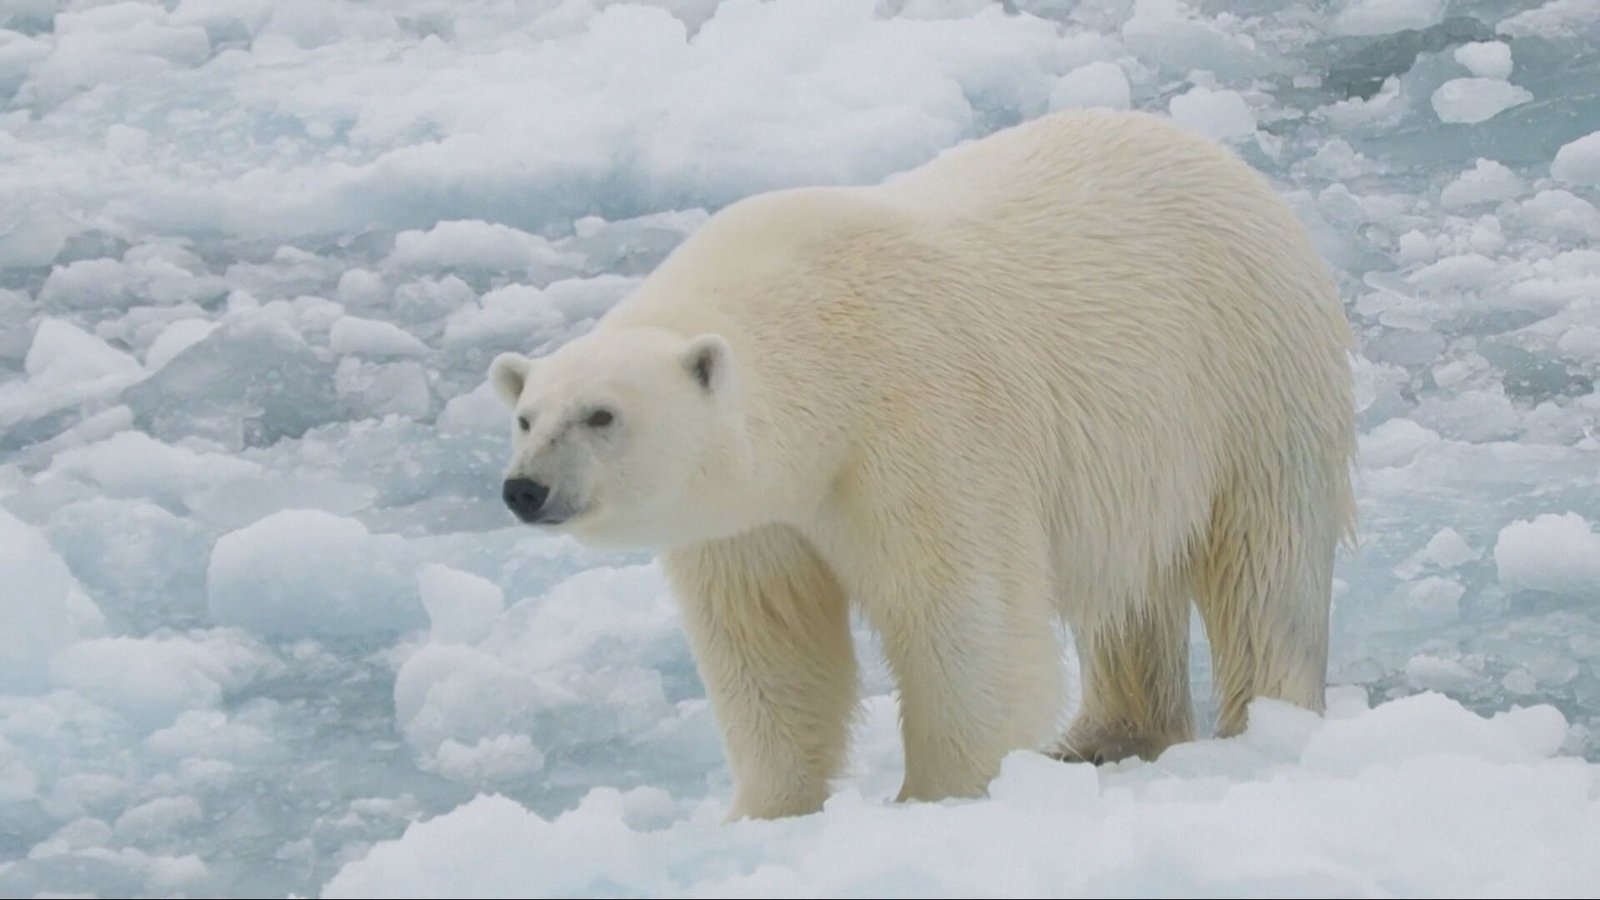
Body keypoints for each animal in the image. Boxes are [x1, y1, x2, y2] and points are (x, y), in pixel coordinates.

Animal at [489, 108, 1357, 821]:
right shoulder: (755, 517)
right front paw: (762, 811)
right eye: (526, 417)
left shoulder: (920, 419)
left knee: (1262, 566)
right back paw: (1106, 734)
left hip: (1250, 379)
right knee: (1128, 589)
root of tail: (1230, 164)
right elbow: (769, 641)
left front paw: (936, 796)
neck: (818, 344)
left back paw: (1261, 729)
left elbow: (964, 617)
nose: (525, 488)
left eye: (602, 415)